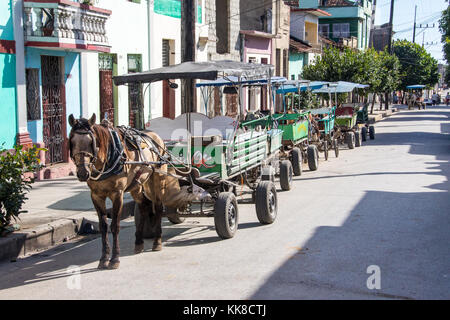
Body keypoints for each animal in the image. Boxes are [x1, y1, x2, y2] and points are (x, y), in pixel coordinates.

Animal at [68, 114, 207, 268]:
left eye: (91, 142)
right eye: (72, 141)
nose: (82, 173)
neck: (109, 157)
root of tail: (156, 138)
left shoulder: (117, 194)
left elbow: (115, 226)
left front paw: (115, 259)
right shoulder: (96, 195)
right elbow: (103, 227)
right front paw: (103, 258)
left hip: (157, 178)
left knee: (158, 208)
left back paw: (157, 242)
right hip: (138, 185)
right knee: (144, 207)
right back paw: (139, 243)